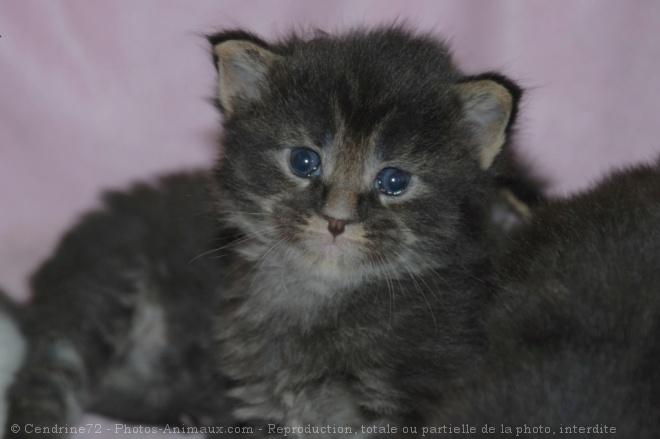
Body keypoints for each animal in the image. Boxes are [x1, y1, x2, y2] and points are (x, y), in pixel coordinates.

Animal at [5, 28, 540, 439]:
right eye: (304, 161)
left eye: (394, 181)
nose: (337, 219)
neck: (322, 297)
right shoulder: (260, 403)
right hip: (102, 286)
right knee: (45, 375)